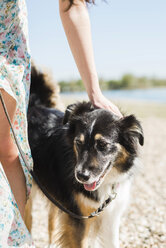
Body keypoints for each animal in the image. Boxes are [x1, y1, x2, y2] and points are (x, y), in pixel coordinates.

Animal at [26, 66, 144, 248]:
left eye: (102, 144)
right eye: (78, 142)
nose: (81, 176)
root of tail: (34, 105)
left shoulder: (110, 218)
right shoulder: (77, 220)